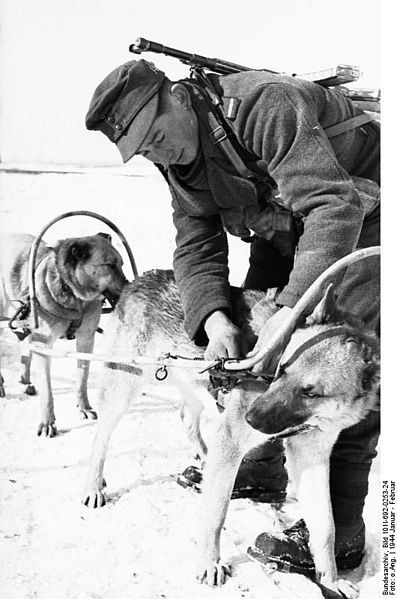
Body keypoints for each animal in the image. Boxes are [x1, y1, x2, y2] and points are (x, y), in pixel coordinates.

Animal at [0, 231, 127, 436]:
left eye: (122, 264)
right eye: (109, 265)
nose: (131, 286)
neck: (74, 296)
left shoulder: (86, 340)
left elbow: (82, 378)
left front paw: (84, 407)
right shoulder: (44, 345)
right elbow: (47, 392)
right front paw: (47, 422)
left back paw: (25, 380)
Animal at [80, 270, 378, 596]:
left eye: (311, 393)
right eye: (283, 369)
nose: (251, 418)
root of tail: (140, 279)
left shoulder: (311, 455)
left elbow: (326, 527)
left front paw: (331, 581)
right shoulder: (232, 440)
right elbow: (216, 513)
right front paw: (210, 563)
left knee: (187, 420)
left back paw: (203, 461)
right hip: (125, 386)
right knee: (101, 437)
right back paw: (93, 486)